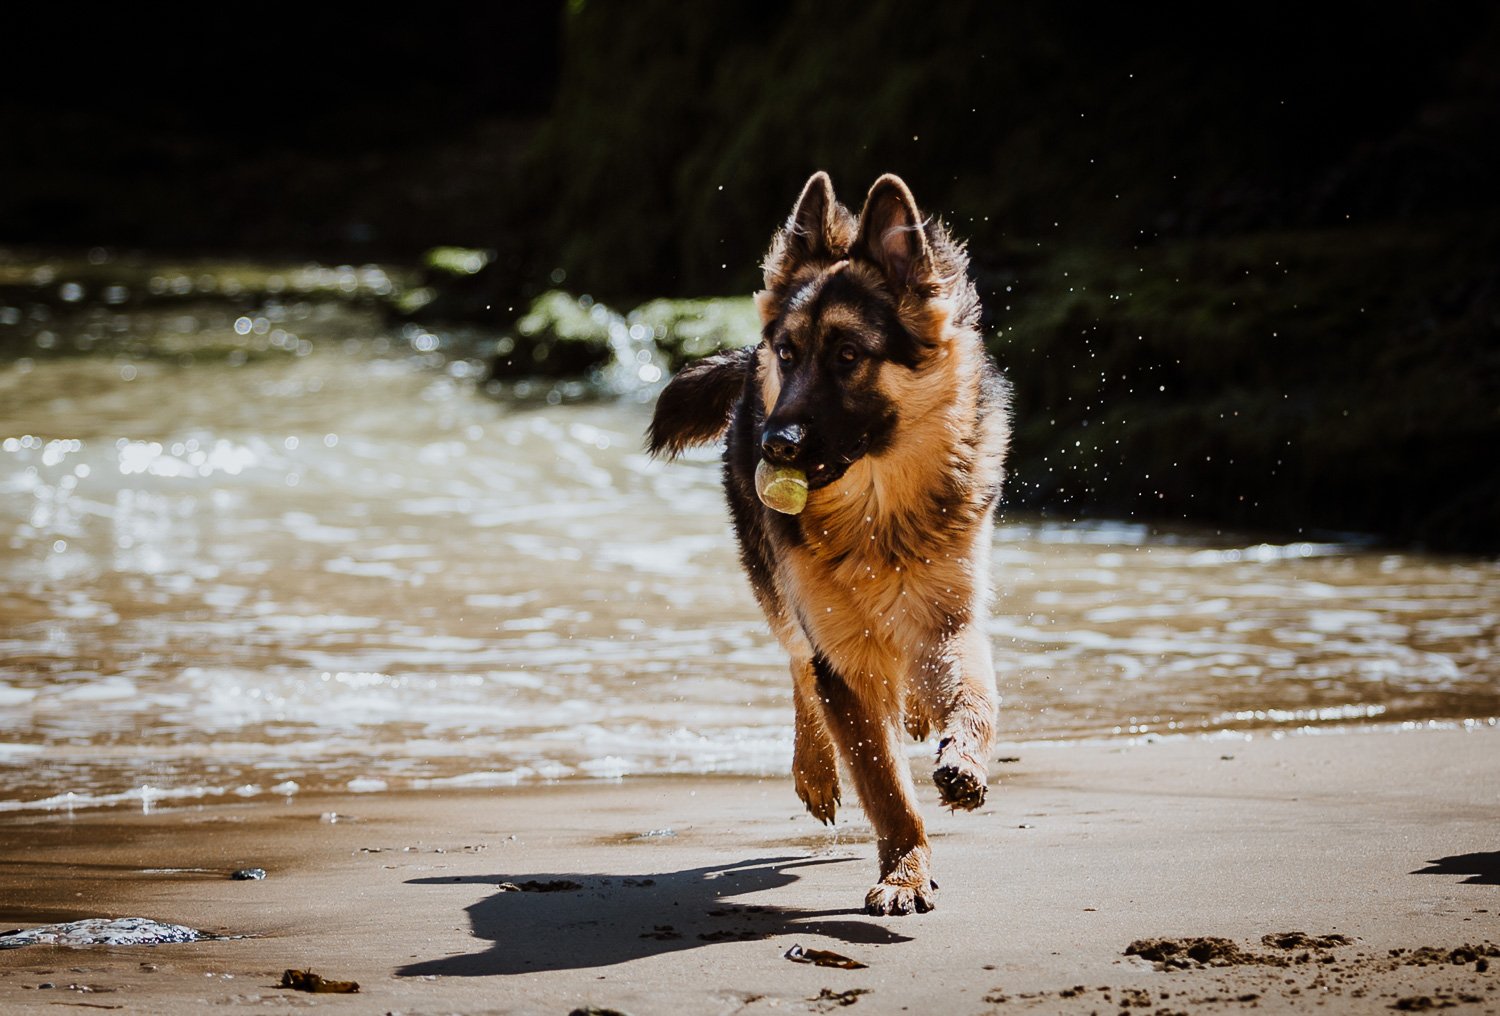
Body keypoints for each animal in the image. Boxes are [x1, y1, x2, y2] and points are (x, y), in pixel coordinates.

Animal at [645, 170, 1008, 912]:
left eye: (847, 357)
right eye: (787, 354)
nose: (772, 445)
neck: (877, 513)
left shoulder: (951, 620)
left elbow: (974, 697)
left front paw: (962, 756)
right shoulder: (843, 656)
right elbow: (885, 782)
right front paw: (905, 870)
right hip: (779, 591)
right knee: (795, 660)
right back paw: (814, 766)